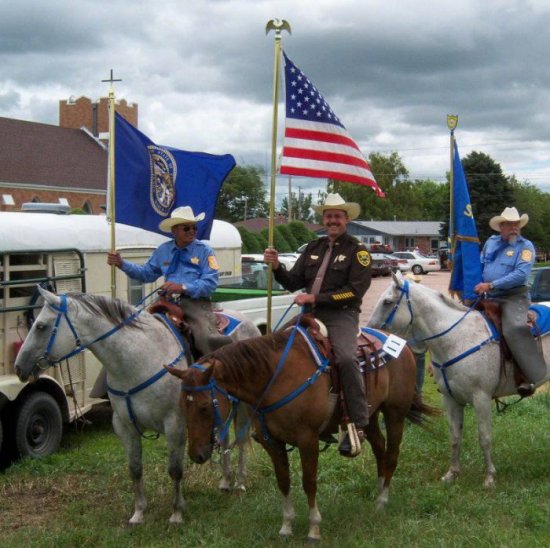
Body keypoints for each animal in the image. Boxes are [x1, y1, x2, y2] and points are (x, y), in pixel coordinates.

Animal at [15, 286, 260, 524]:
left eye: (41, 326)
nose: (19, 367)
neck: (139, 360)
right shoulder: (125, 426)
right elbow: (135, 469)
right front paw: (139, 513)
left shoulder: (175, 425)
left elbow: (175, 470)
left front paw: (176, 513)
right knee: (224, 437)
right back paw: (225, 481)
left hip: (243, 406)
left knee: (240, 438)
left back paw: (239, 482)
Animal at [170, 324, 438, 540]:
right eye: (182, 404)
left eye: (204, 407)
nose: (197, 455)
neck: (274, 378)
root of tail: (401, 343)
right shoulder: (272, 442)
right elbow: (284, 481)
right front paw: (287, 525)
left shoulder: (308, 440)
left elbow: (309, 482)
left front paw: (313, 528)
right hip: (369, 415)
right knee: (380, 449)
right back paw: (379, 492)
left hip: (394, 414)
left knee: (391, 455)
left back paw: (383, 500)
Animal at [370, 274, 550, 488]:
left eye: (387, 302)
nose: (370, 330)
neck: (456, 339)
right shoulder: (451, 399)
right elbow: (455, 436)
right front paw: (452, 473)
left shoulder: (481, 399)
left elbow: (485, 437)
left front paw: (489, 477)